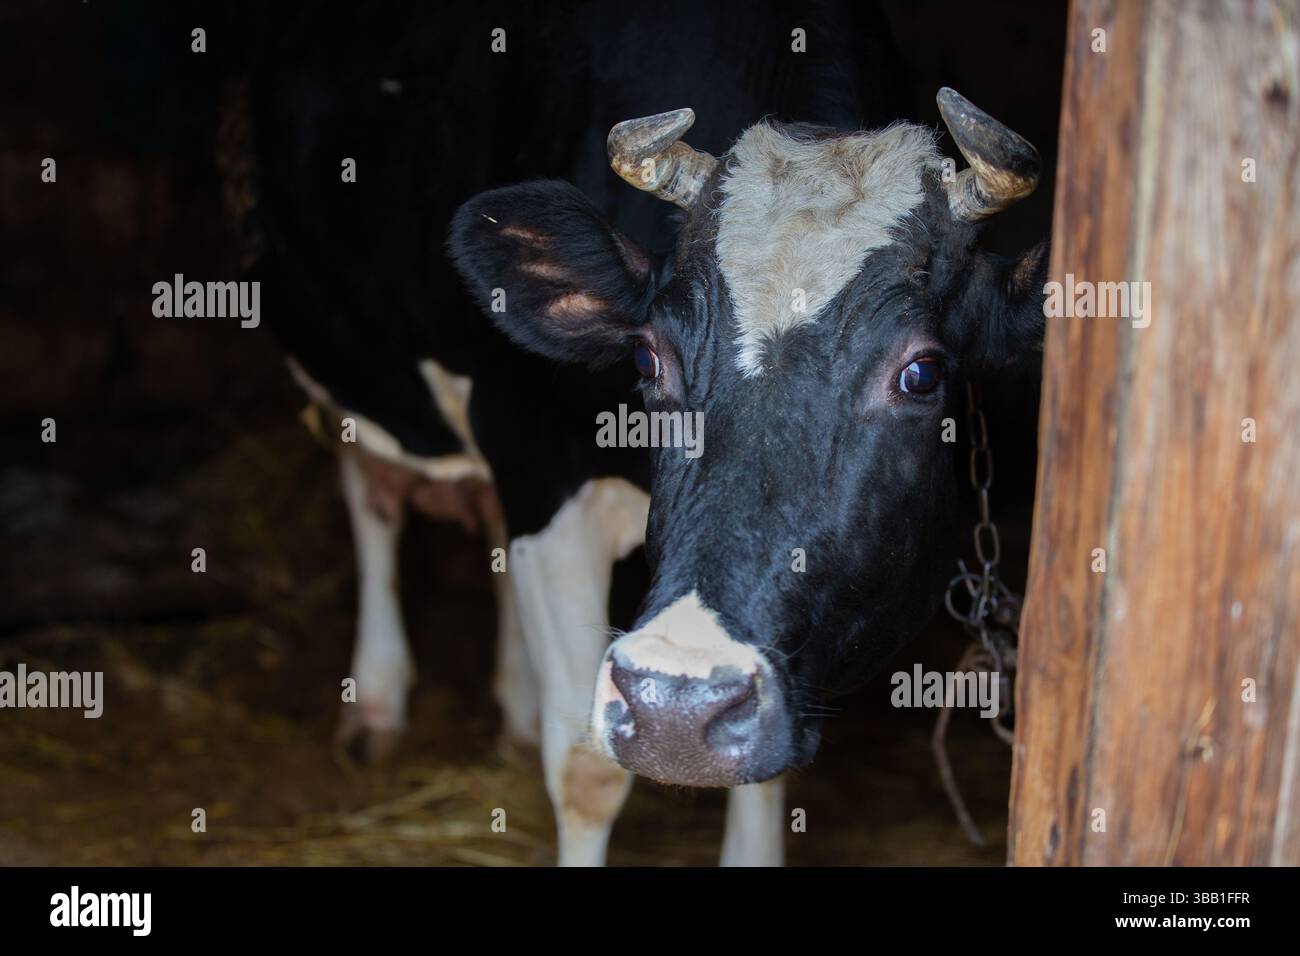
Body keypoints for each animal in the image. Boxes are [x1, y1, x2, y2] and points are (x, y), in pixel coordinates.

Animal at [231, 0, 907, 864]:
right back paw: (376, 700)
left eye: (920, 374)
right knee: (373, 497)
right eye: (648, 356)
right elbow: (590, 768)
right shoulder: (542, 469)